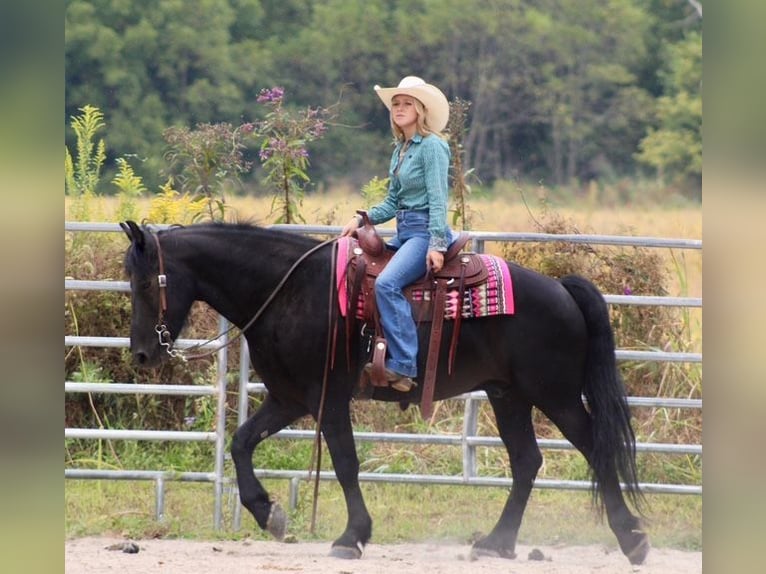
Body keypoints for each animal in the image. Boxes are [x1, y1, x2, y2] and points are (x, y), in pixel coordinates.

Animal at [120, 219, 649, 565]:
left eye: (145, 282)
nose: (142, 354)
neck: (289, 291)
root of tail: (562, 290)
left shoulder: (328, 399)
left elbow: (345, 464)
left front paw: (352, 536)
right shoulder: (288, 398)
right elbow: (241, 442)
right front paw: (267, 512)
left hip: (556, 396)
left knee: (596, 450)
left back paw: (633, 540)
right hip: (508, 396)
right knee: (526, 462)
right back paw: (497, 542)